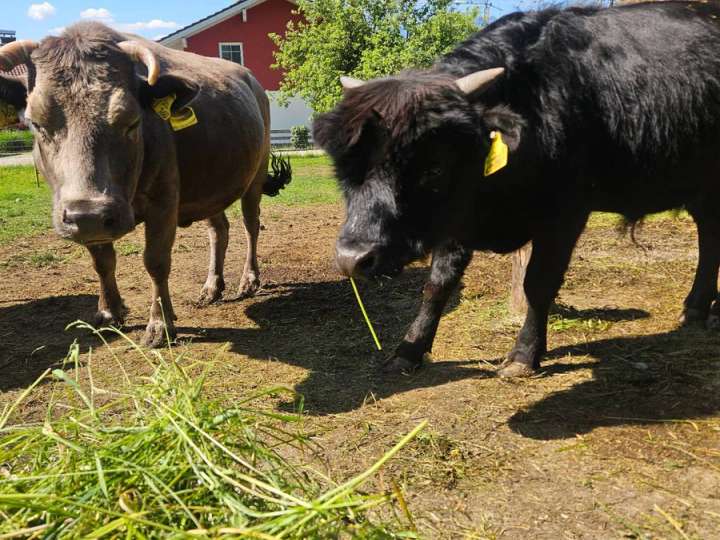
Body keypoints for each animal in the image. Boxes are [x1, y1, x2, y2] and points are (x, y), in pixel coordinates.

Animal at [0, 22, 291, 347]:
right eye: (36, 123)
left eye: (132, 121)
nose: (89, 214)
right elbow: (103, 261)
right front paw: (109, 313)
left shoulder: (163, 204)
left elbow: (156, 261)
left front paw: (160, 324)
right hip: (209, 186)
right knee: (219, 231)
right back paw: (212, 287)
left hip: (255, 175)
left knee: (251, 225)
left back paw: (249, 280)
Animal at [313, 2, 720, 377]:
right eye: (345, 170)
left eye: (434, 167)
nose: (353, 258)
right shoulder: (457, 216)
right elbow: (438, 283)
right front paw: (409, 349)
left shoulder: (564, 213)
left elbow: (539, 283)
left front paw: (524, 355)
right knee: (708, 235)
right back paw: (696, 308)